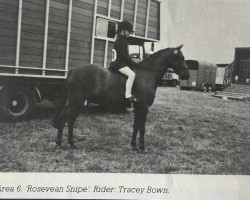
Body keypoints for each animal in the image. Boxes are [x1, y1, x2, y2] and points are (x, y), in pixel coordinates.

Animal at [52, 45, 189, 151]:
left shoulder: (138, 108)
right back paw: (60, 143)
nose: (187, 75)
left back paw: (71, 144)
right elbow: (142, 128)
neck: (147, 74)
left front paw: (134, 146)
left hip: (78, 103)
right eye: (181, 58)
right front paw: (142, 147)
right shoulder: (144, 108)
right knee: (65, 119)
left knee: (71, 120)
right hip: (75, 102)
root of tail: (73, 70)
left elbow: (136, 126)